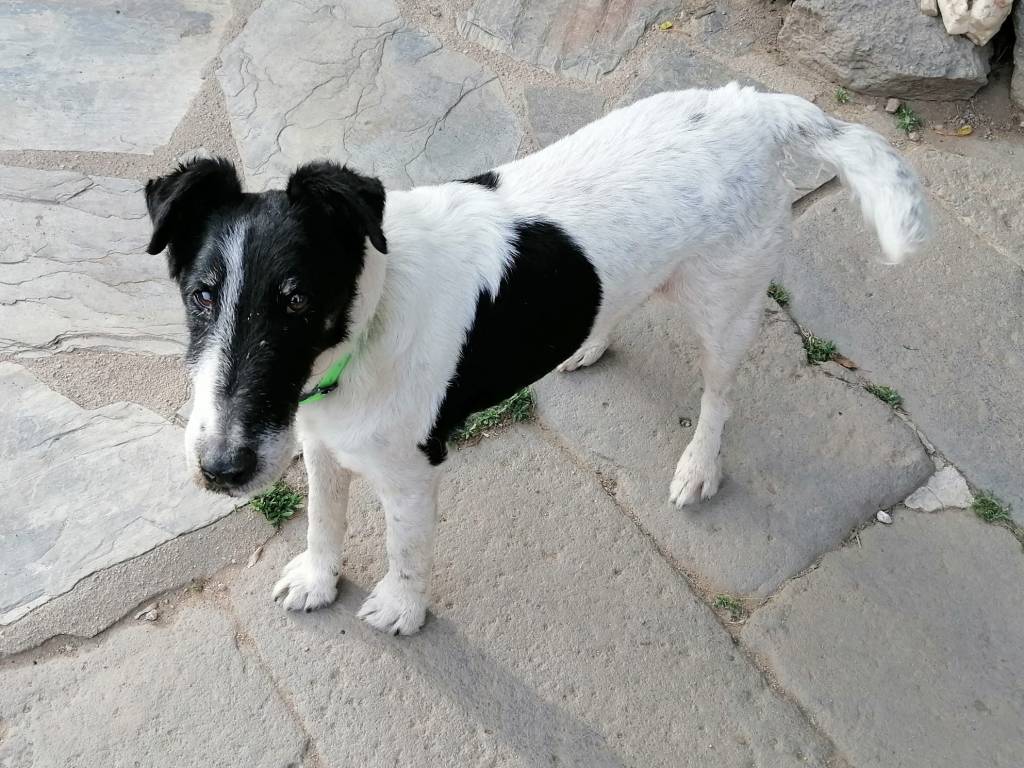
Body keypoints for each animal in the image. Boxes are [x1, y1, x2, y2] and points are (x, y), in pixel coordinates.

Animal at [144, 84, 929, 635]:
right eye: (201, 294)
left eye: (299, 302)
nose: (220, 471)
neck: (369, 320)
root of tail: (758, 107)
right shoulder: (319, 443)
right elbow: (322, 522)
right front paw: (317, 578)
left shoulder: (410, 474)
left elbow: (406, 554)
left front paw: (402, 609)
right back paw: (588, 342)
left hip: (728, 307)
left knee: (720, 395)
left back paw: (699, 466)